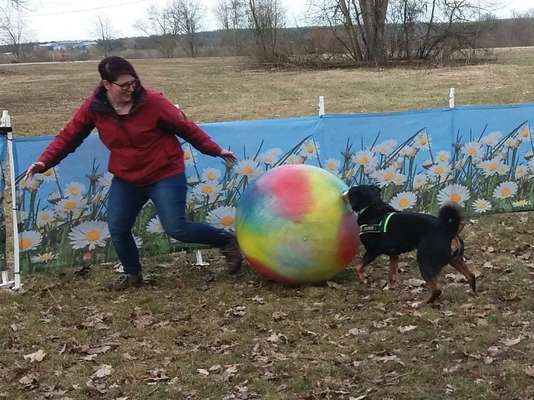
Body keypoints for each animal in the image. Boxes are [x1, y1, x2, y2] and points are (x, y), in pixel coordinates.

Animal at [344, 186, 478, 302]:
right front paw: (390, 288)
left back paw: (423, 303)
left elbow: (358, 266)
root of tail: (448, 229)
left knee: (437, 290)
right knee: (471, 276)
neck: (372, 206)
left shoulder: (373, 251)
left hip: (425, 261)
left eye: (350, 192)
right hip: (454, 259)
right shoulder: (394, 254)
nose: (344, 192)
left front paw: (364, 279)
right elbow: (392, 274)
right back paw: (472, 294)